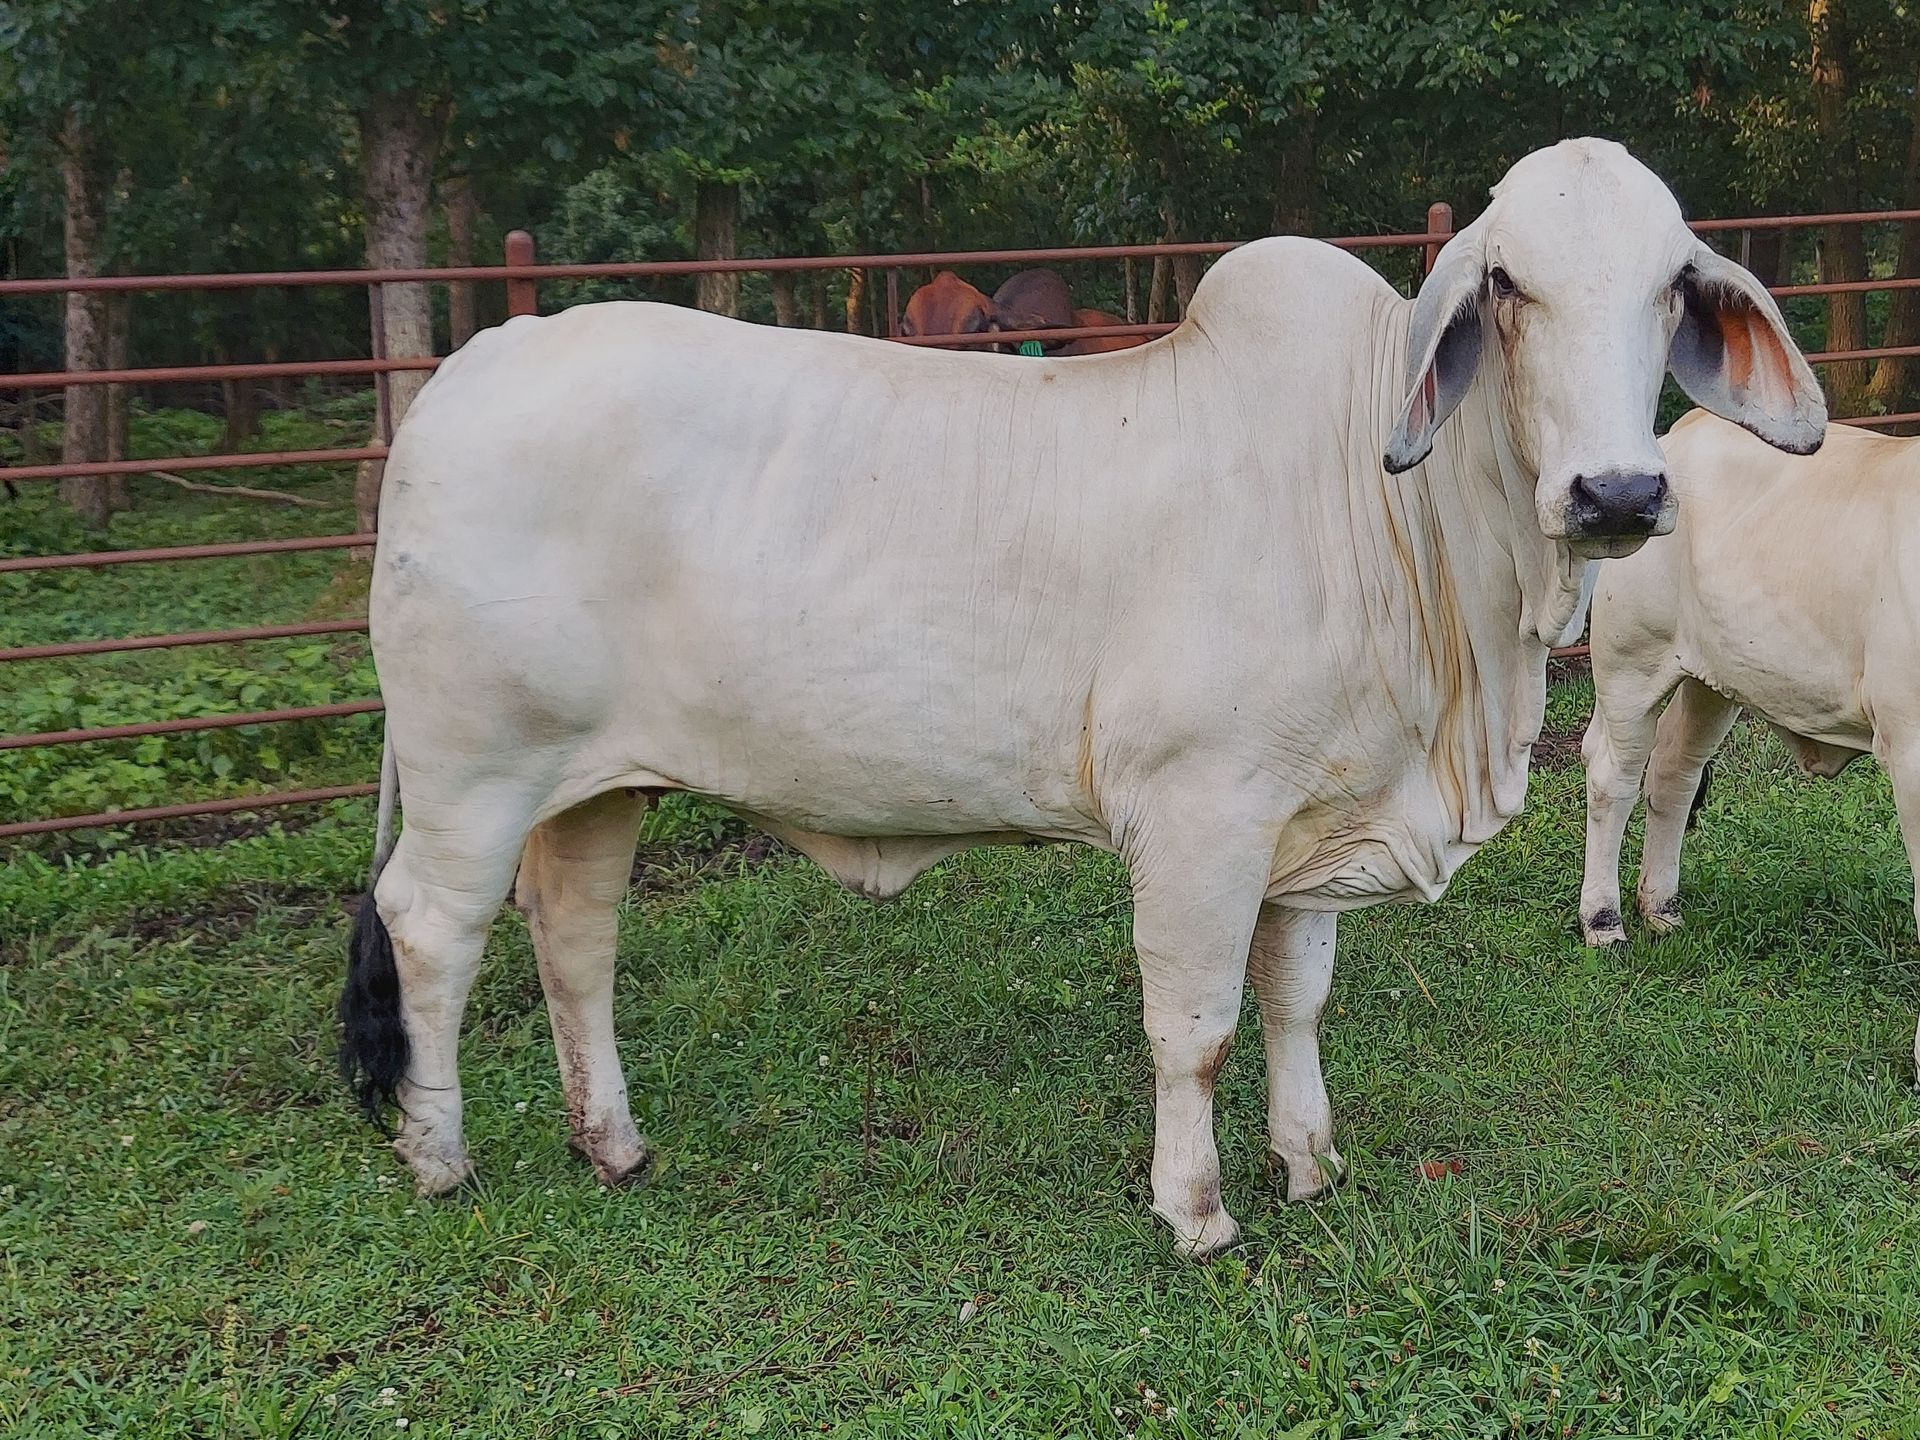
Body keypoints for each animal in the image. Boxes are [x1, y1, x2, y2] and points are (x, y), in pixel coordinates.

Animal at [339, 139, 1824, 1259]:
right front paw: (1199, 1210)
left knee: (573, 938)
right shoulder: (1200, 816)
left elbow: (1294, 1003)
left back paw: (615, 1143)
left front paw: (1311, 1162)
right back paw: (439, 1153)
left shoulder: (1308, 822)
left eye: (1673, 284)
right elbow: (1197, 1028)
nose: (1618, 492)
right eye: (1509, 283)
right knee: (432, 932)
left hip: (593, 783)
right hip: (475, 773)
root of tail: (470, 368)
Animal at [1578, 411, 1920, 1063]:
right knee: (1615, 779)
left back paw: (1661, 908)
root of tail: (1682, 430)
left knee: (1674, 774)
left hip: (1713, 679)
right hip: (1631, 659)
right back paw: (1605, 923)